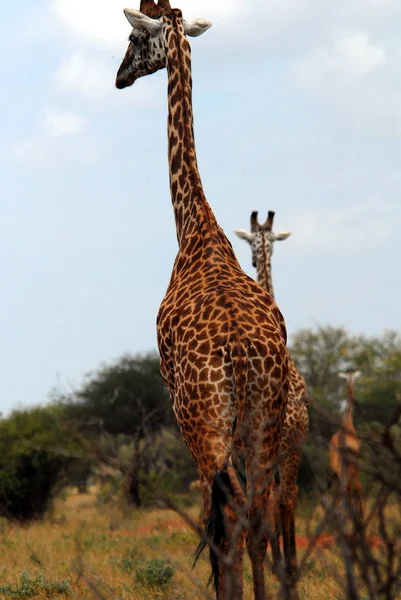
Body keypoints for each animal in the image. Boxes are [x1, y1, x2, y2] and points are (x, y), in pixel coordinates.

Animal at [114, 2, 290, 596]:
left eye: (132, 40)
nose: (119, 77)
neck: (195, 231)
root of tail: (240, 353)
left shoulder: (176, 401)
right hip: (264, 418)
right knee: (258, 515)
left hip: (203, 422)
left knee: (229, 519)